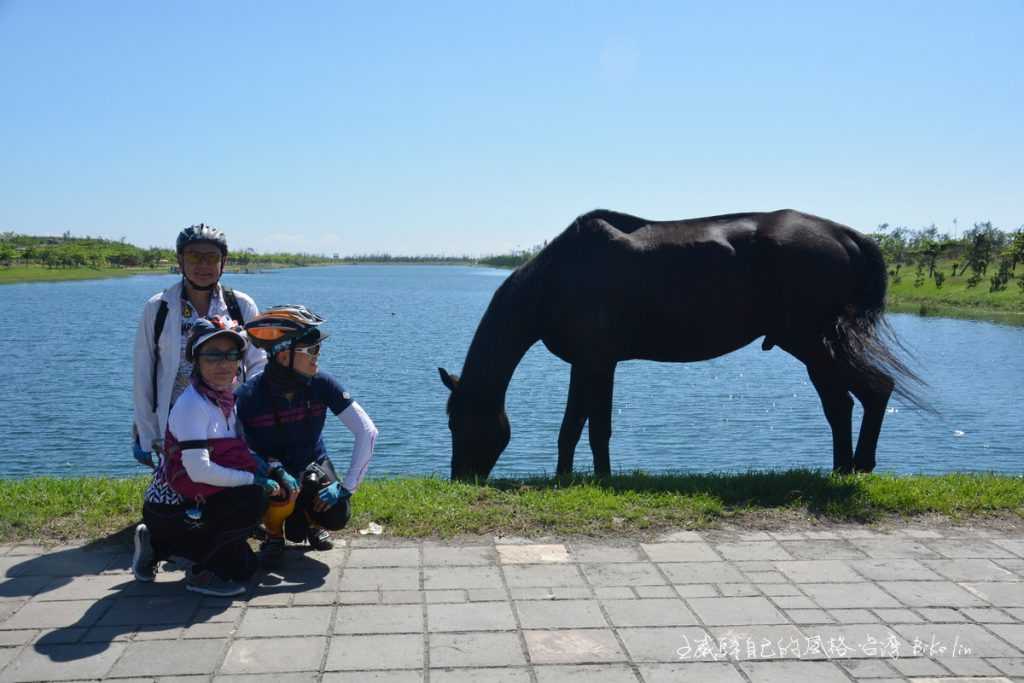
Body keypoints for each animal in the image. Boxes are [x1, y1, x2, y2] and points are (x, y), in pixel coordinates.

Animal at [440, 208, 929, 481]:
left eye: (456, 422)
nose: (460, 477)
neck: (556, 277)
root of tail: (848, 235)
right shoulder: (591, 363)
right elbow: (579, 427)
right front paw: (574, 478)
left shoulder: (597, 362)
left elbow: (590, 427)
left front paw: (592, 479)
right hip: (813, 346)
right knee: (842, 404)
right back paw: (843, 468)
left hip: (814, 342)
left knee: (872, 392)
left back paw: (857, 465)